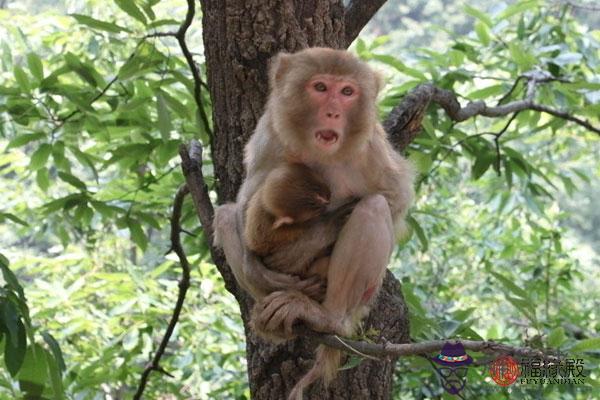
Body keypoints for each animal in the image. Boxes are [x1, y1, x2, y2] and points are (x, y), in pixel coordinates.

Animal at [213, 48, 414, 398]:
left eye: (347, 92)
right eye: (320, 88)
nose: (333, 112)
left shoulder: (371, 146)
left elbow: (394, 197)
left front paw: (296, 252)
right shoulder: (269, 134)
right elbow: (246, 200)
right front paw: (261, 267)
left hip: (360, 300)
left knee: (372, 207)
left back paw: (327, 318)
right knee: (226, 216)